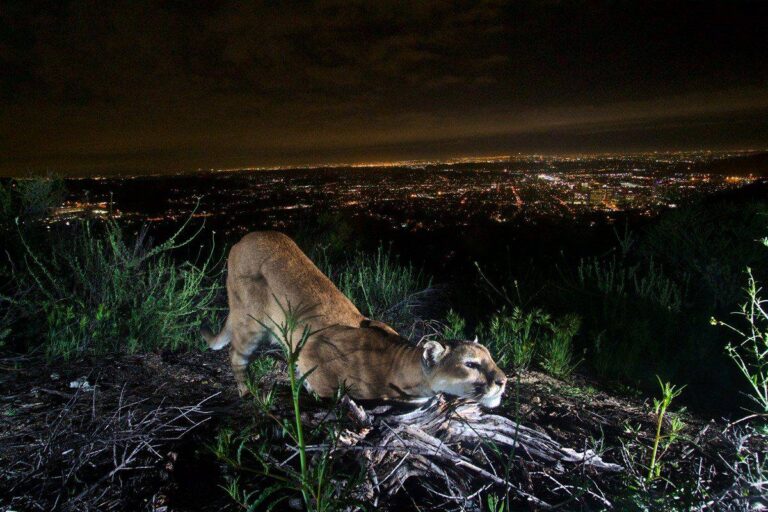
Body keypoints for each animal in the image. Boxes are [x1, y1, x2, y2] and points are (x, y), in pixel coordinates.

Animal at [202, 231, 507, 407]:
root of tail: (244, 239)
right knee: (236, 355)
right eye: (470, 364)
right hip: (251, 322)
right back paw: (248, 392)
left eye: (491, 359)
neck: (399, 364)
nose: (503, 381)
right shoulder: (314, 353)